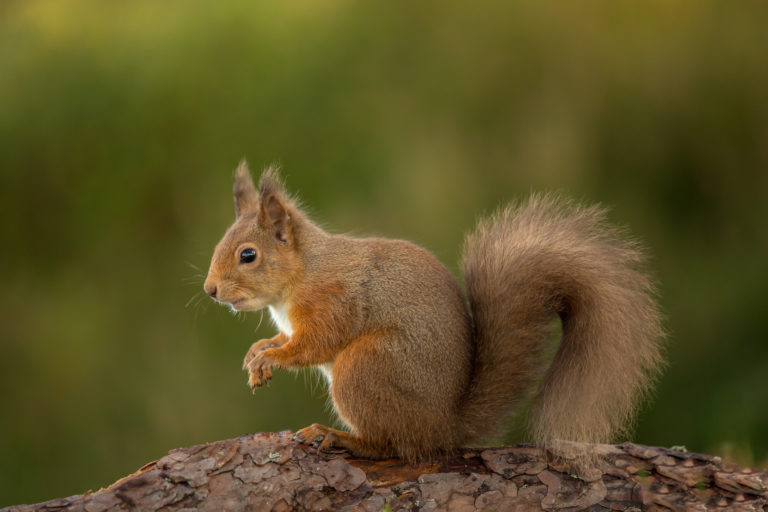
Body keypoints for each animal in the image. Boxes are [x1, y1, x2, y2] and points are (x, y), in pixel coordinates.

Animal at [206, 161, 664, 460]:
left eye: (248, 255)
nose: (210, 291)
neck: (302, 274)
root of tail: (445, 426)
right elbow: (285, 338)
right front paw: (258, 350)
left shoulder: (334, 301)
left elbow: (312, 345)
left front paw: (269, 358)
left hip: (365, 368)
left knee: (393, 446)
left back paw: (341, 437)